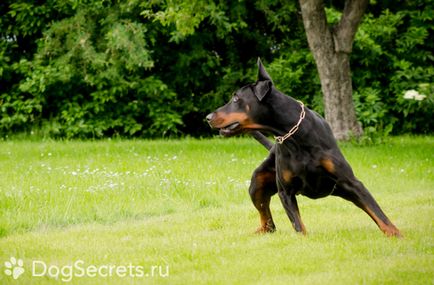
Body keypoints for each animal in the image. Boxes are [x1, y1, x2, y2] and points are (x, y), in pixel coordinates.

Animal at [205, 58, 402, 236]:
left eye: (236, 98)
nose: (207, 117)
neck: (294, 136)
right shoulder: (286, 192)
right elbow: (298, 225)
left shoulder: (351, 182)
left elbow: (377, 212)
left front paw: (396, 235)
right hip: (257, 183)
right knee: (268, 221)